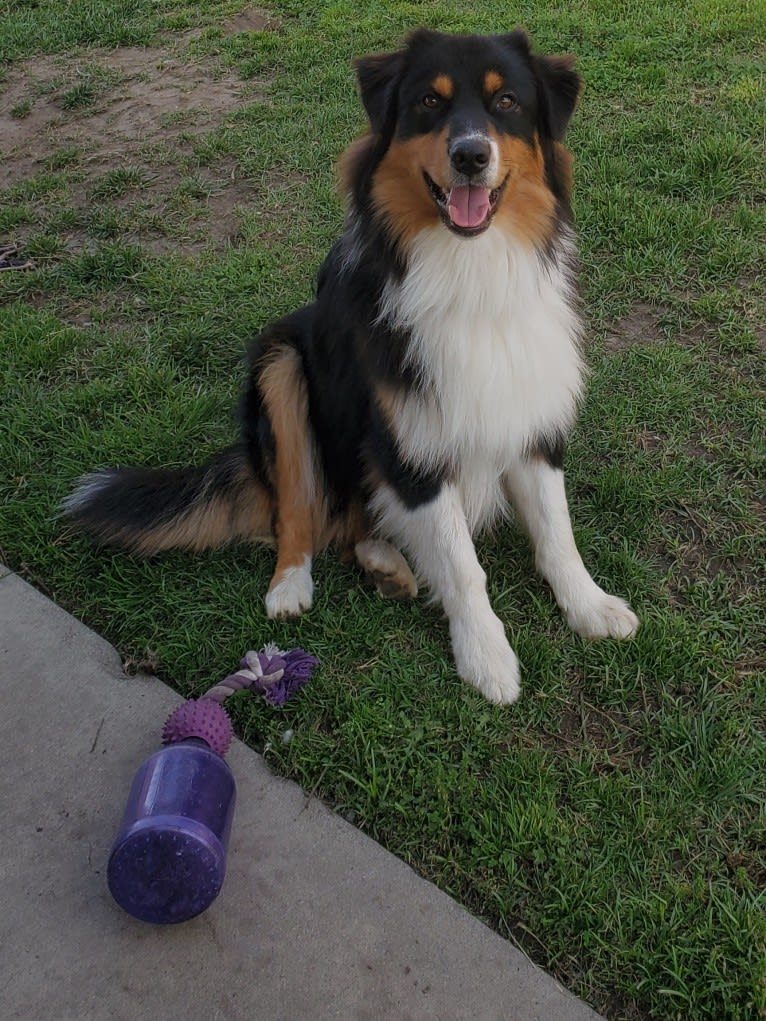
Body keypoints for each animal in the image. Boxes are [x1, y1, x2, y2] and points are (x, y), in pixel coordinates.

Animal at [64, 29, 641, 702]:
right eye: (428, 101)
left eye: (506, 102)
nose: (471, 155)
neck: (470, 269)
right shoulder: (410, 447)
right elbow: (462, 564)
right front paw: (487, 657)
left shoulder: (529, 411)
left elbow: (556, 532)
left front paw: (591, 606)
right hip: (281, 363)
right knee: (298, 512)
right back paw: (292, 586)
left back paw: (387, 564)